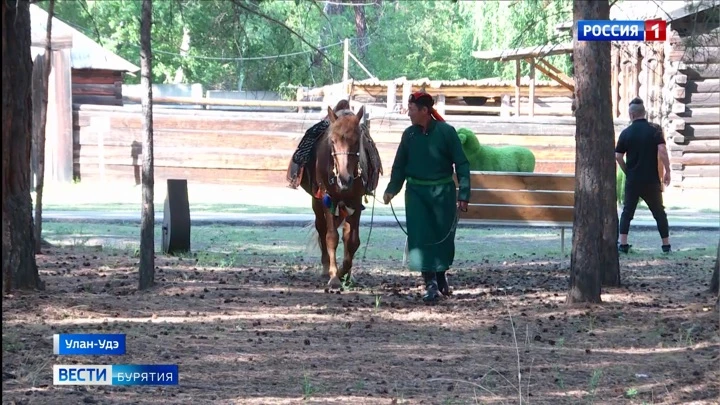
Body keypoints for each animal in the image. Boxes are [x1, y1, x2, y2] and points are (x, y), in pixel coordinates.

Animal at [298, 104, 380, 288]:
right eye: (333, 141)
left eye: (356, 141)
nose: (344, 179)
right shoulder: (329, 200)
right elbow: (331, 237)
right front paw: (334, 276)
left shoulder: (356, 203)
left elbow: (353, 241)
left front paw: (344, 273)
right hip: (318, 202)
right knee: (322, 229)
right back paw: (325, 267)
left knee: (346, 235)